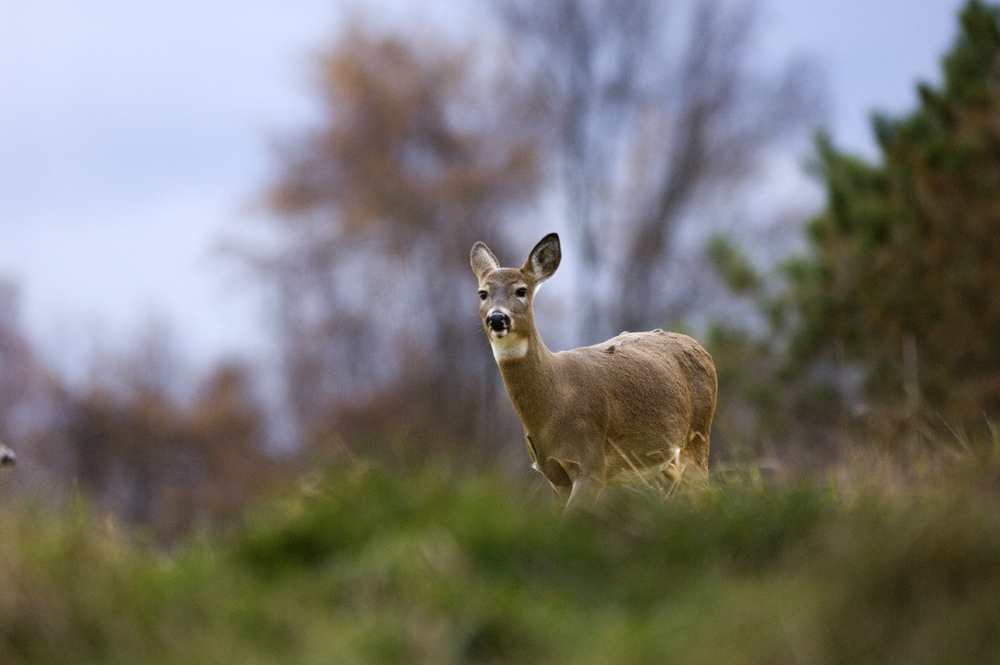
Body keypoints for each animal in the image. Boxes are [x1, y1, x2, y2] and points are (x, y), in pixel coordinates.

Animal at [472, 231, 716, 510]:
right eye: (482, 293)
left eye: (521, 290)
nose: (497, 318)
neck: (555, 401)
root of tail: (700, 347)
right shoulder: (554, 476)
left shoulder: (591, 464)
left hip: (699, 434)